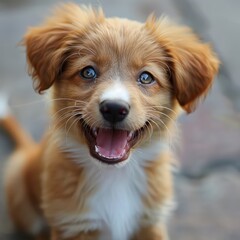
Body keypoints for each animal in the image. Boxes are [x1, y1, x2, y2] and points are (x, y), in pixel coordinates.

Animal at [3, 3, 219, 240]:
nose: (114, 109)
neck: (115, 175)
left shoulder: (150, 222)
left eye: (146, 77)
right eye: (88, 72)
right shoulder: (72, 225)